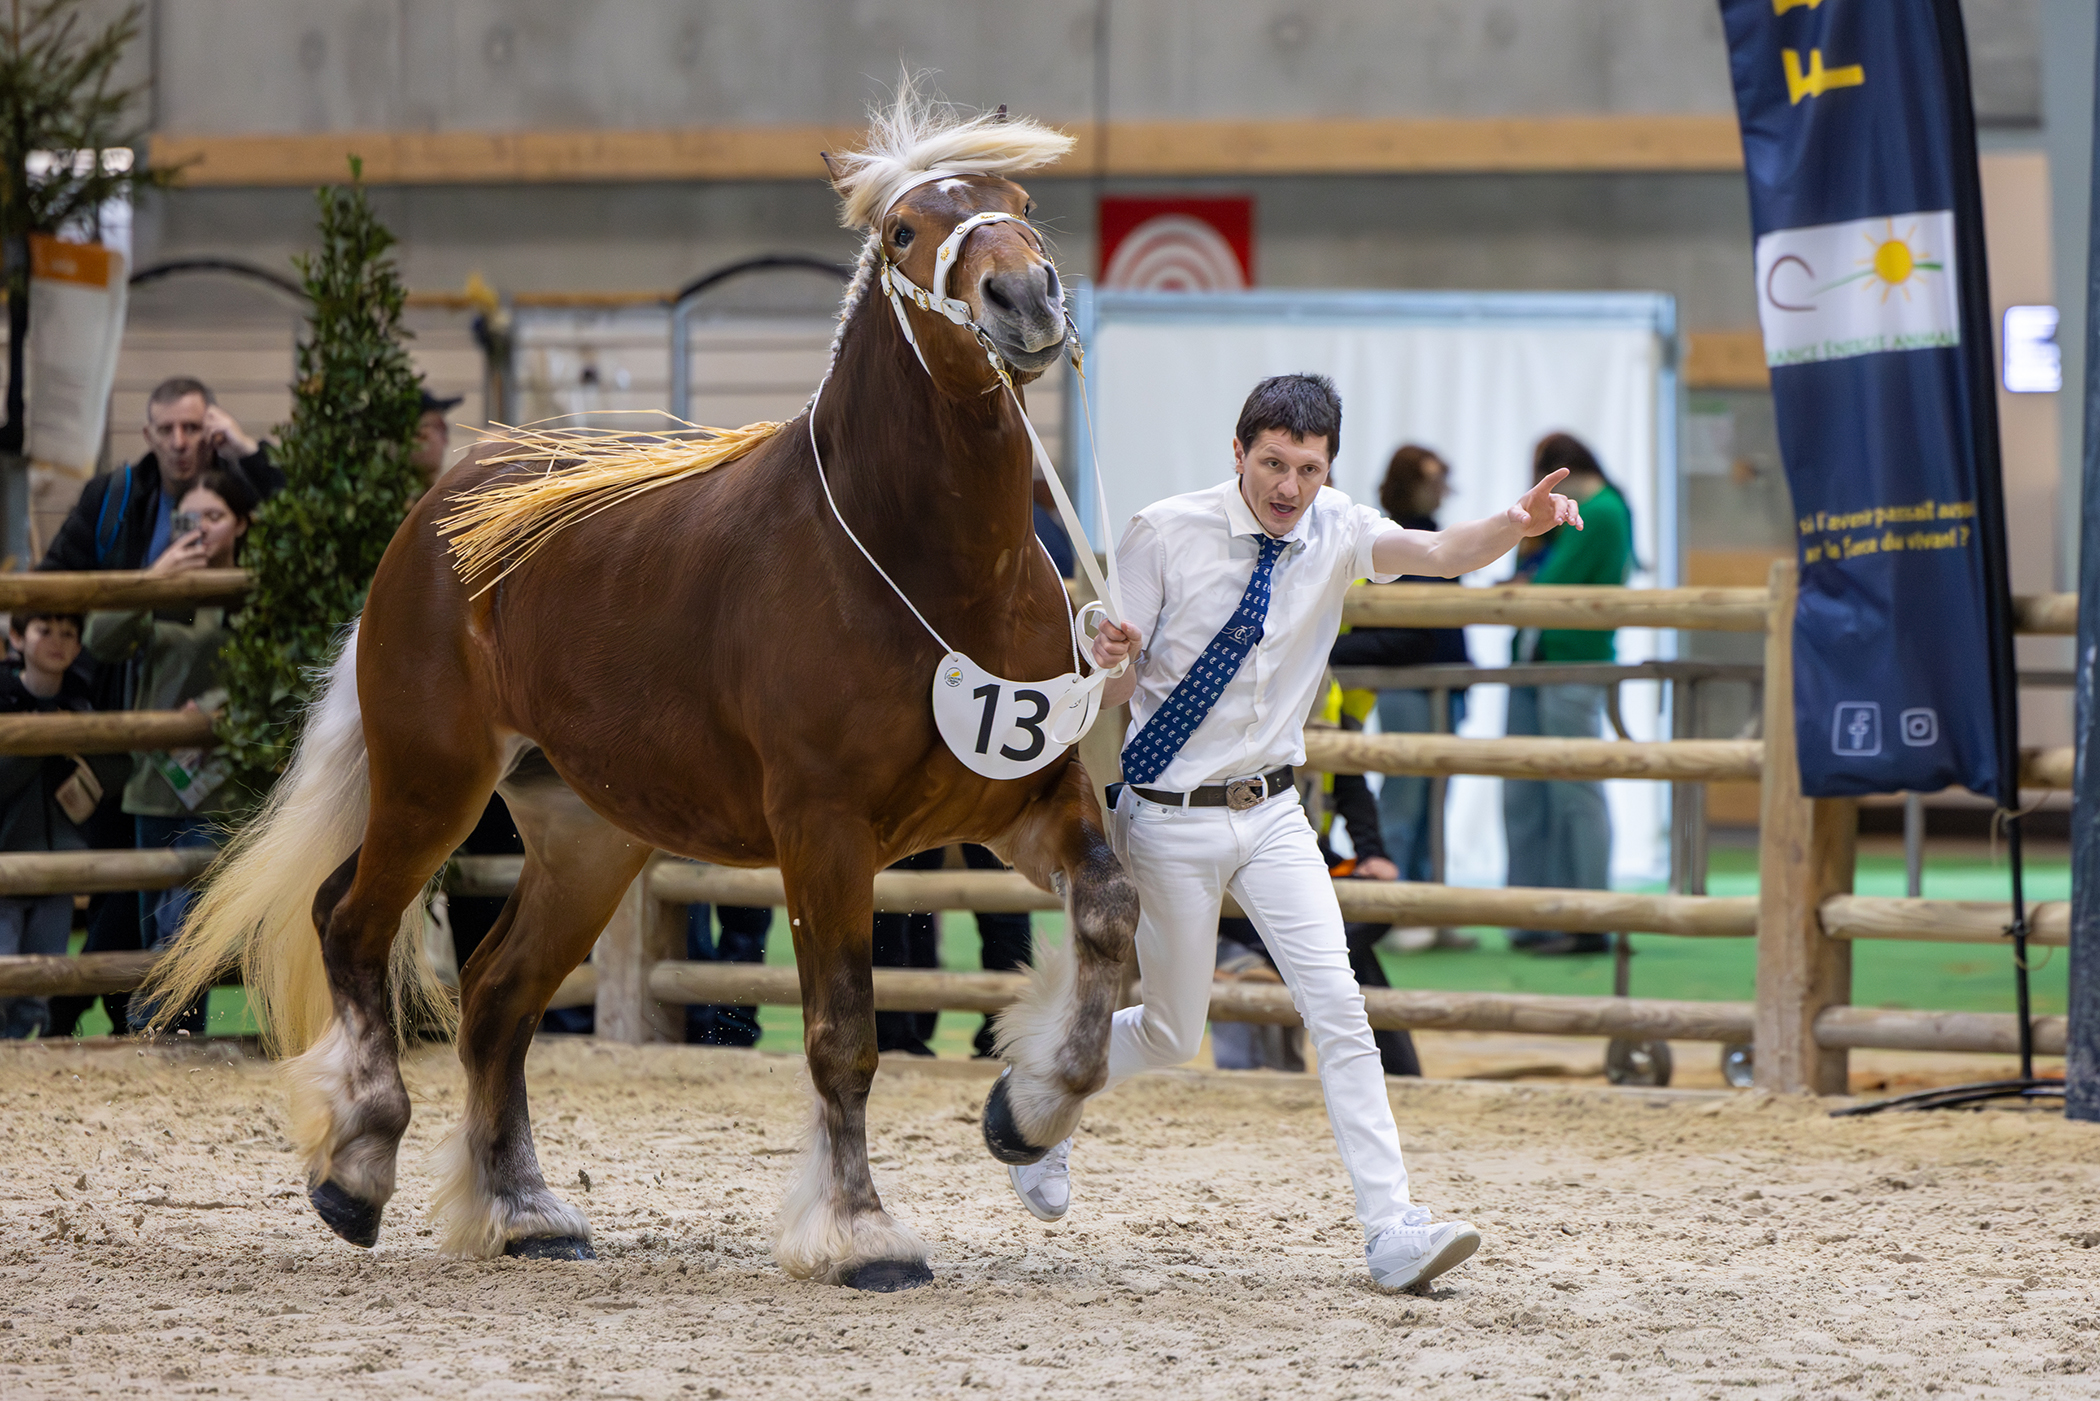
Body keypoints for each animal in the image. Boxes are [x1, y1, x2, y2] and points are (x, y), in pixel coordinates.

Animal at [143, 89, 1138, 1291]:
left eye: (1023, 203)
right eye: (906, 231)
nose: (1024, 296)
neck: (926, 565)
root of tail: (437, 515)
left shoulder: (1020, 795)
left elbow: (1108, 917)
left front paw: (1026, 1111)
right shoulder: (824, 831)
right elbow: (843, 1035)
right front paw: (860, 1232)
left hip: (587, 838)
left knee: (496, 997)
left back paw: (525, 1212)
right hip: (432, 784)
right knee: (352, 923)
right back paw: (357, 1168)